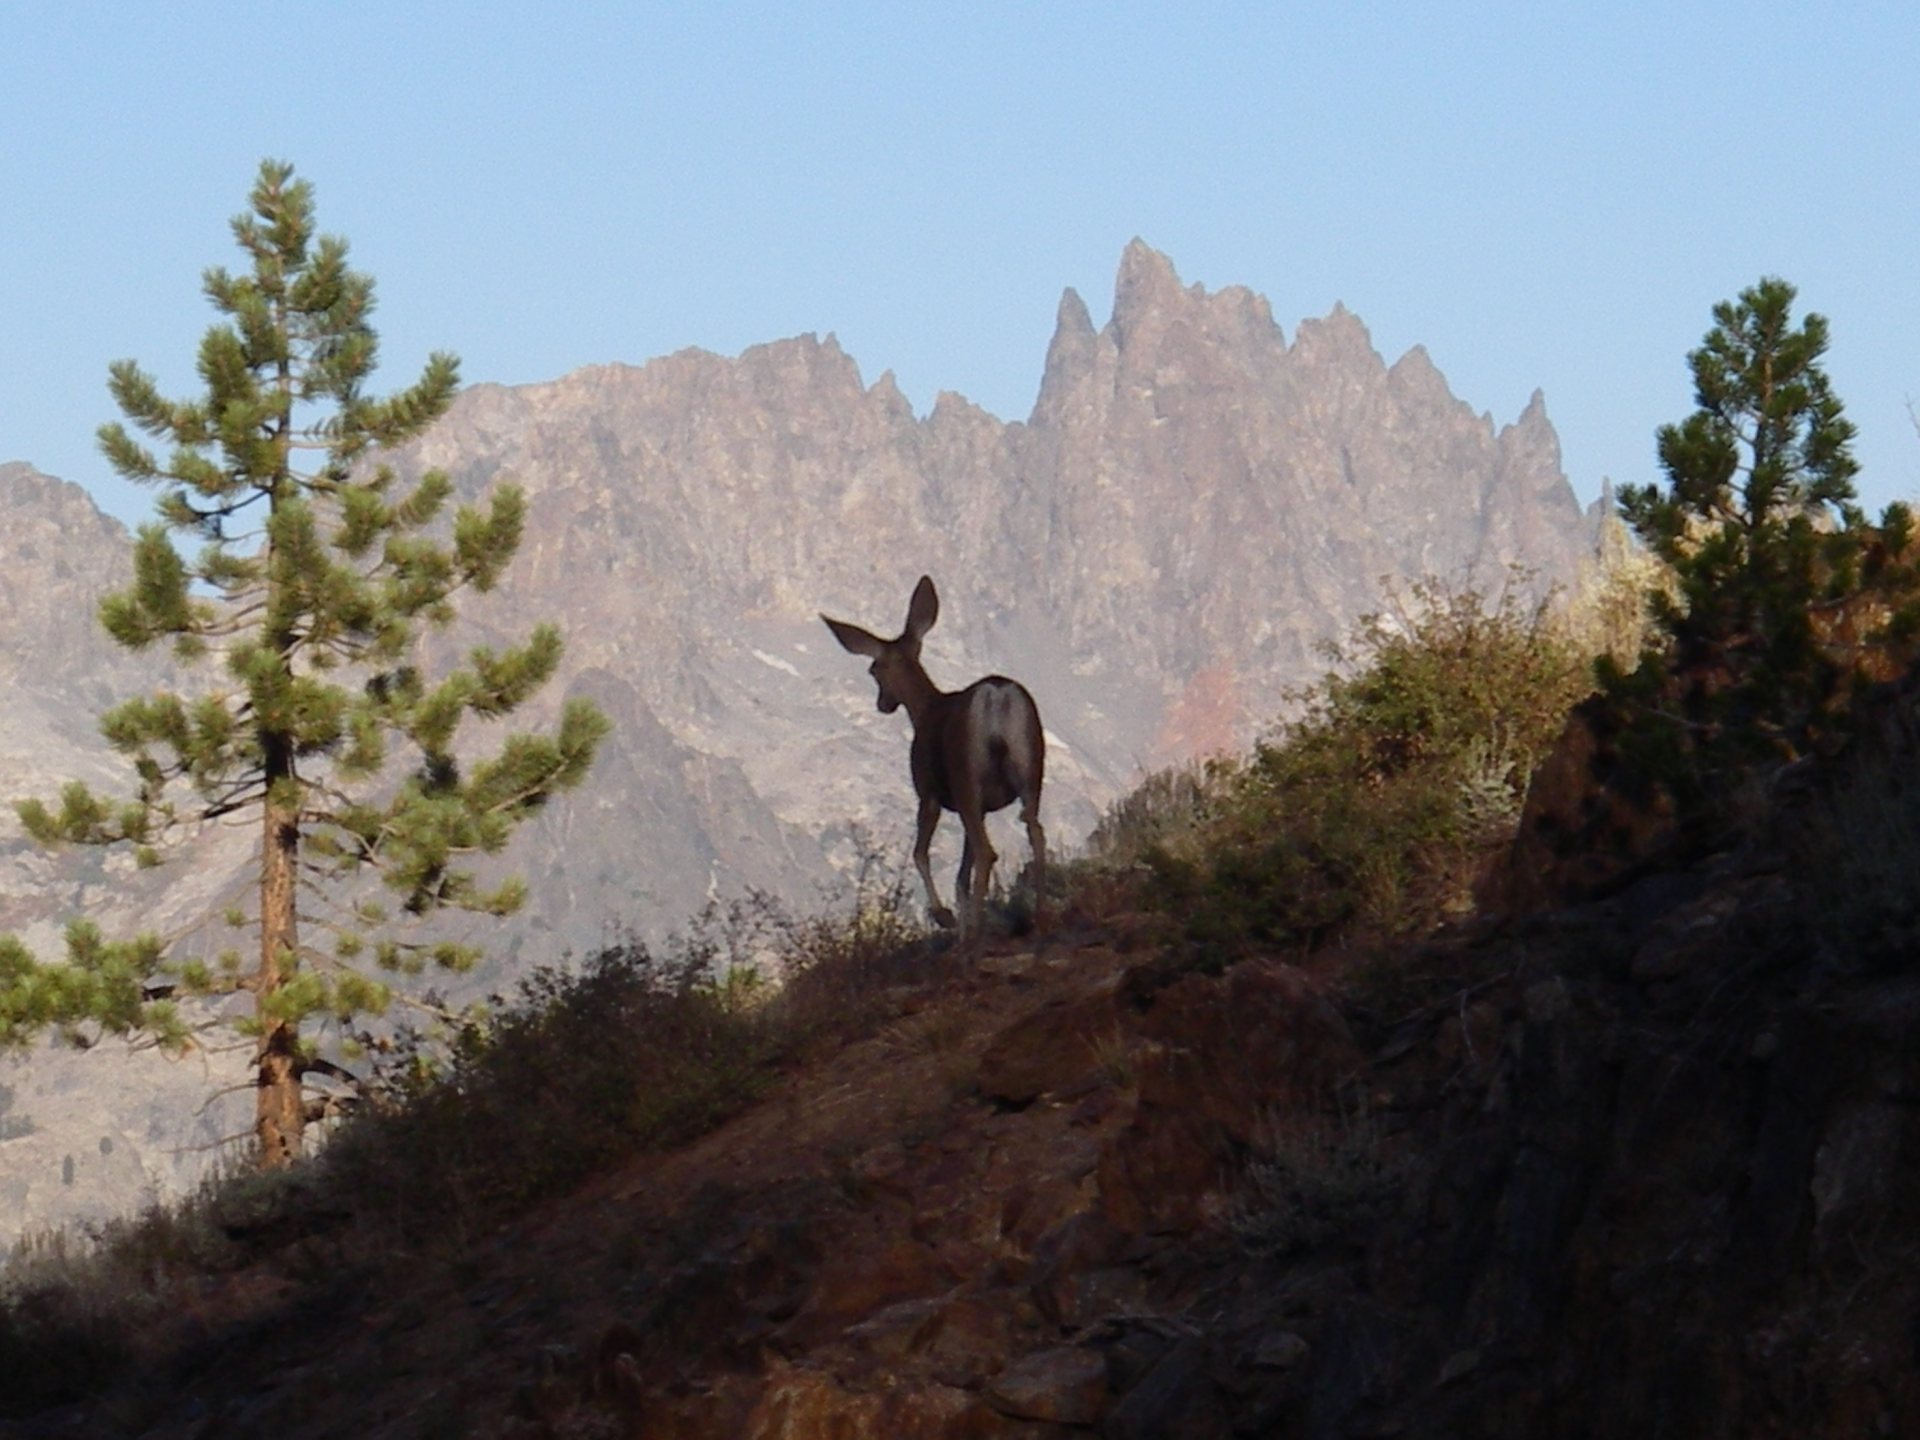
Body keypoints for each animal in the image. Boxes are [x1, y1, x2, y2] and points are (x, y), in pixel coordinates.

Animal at [817, 579, 1044, 948]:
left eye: (873, 669)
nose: (882, 704)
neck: (924, 711)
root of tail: (997, 696)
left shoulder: (928, 793)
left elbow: (920, 853)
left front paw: (945, 918)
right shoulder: (980, 807)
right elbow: (961, 874)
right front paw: (958, 926)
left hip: (966, 776)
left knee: (987, 851)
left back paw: (976, 938)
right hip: (1030, 768)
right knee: (1034, 832)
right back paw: (1039, 914)